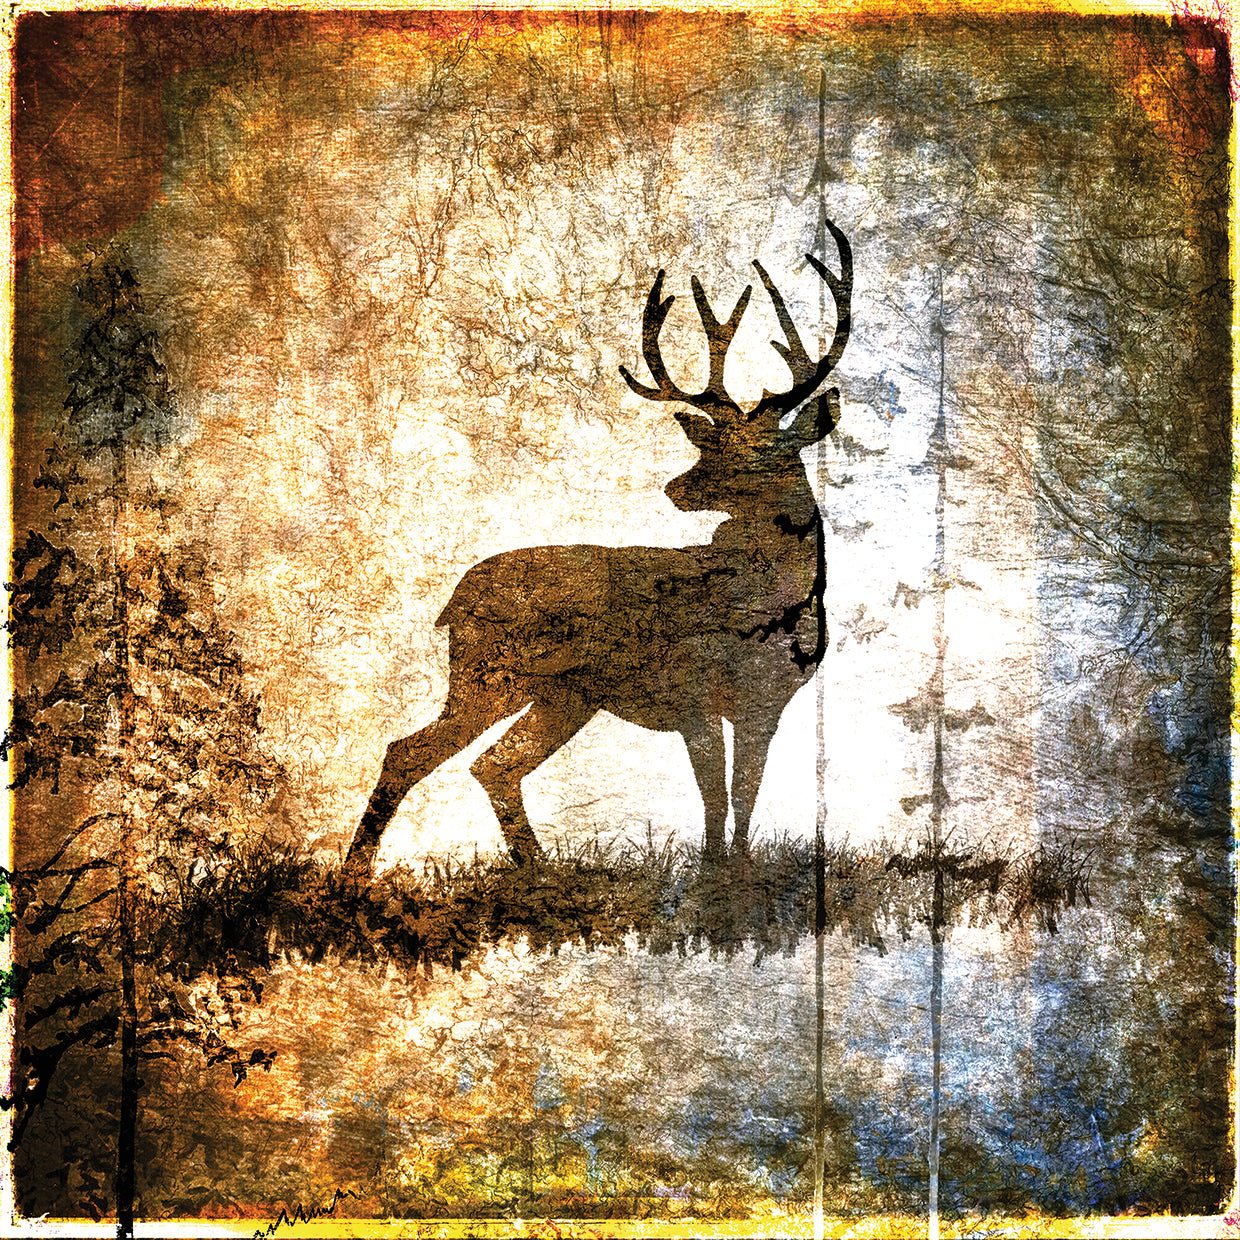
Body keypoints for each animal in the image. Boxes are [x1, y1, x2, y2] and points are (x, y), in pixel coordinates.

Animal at [343, 220, 852, 876]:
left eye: (760, 452)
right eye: (710, 444)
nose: (677, 487)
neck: (764, 608)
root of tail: (453, 600)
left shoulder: (766, 705)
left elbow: (746, 794)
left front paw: (735, 871)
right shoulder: (688, 691)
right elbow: (713, 793)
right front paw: (710, 871)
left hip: (564, 695)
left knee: (493, 764)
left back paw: (538, 867)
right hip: (491, 672)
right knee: (410, 750)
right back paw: (356, 869)